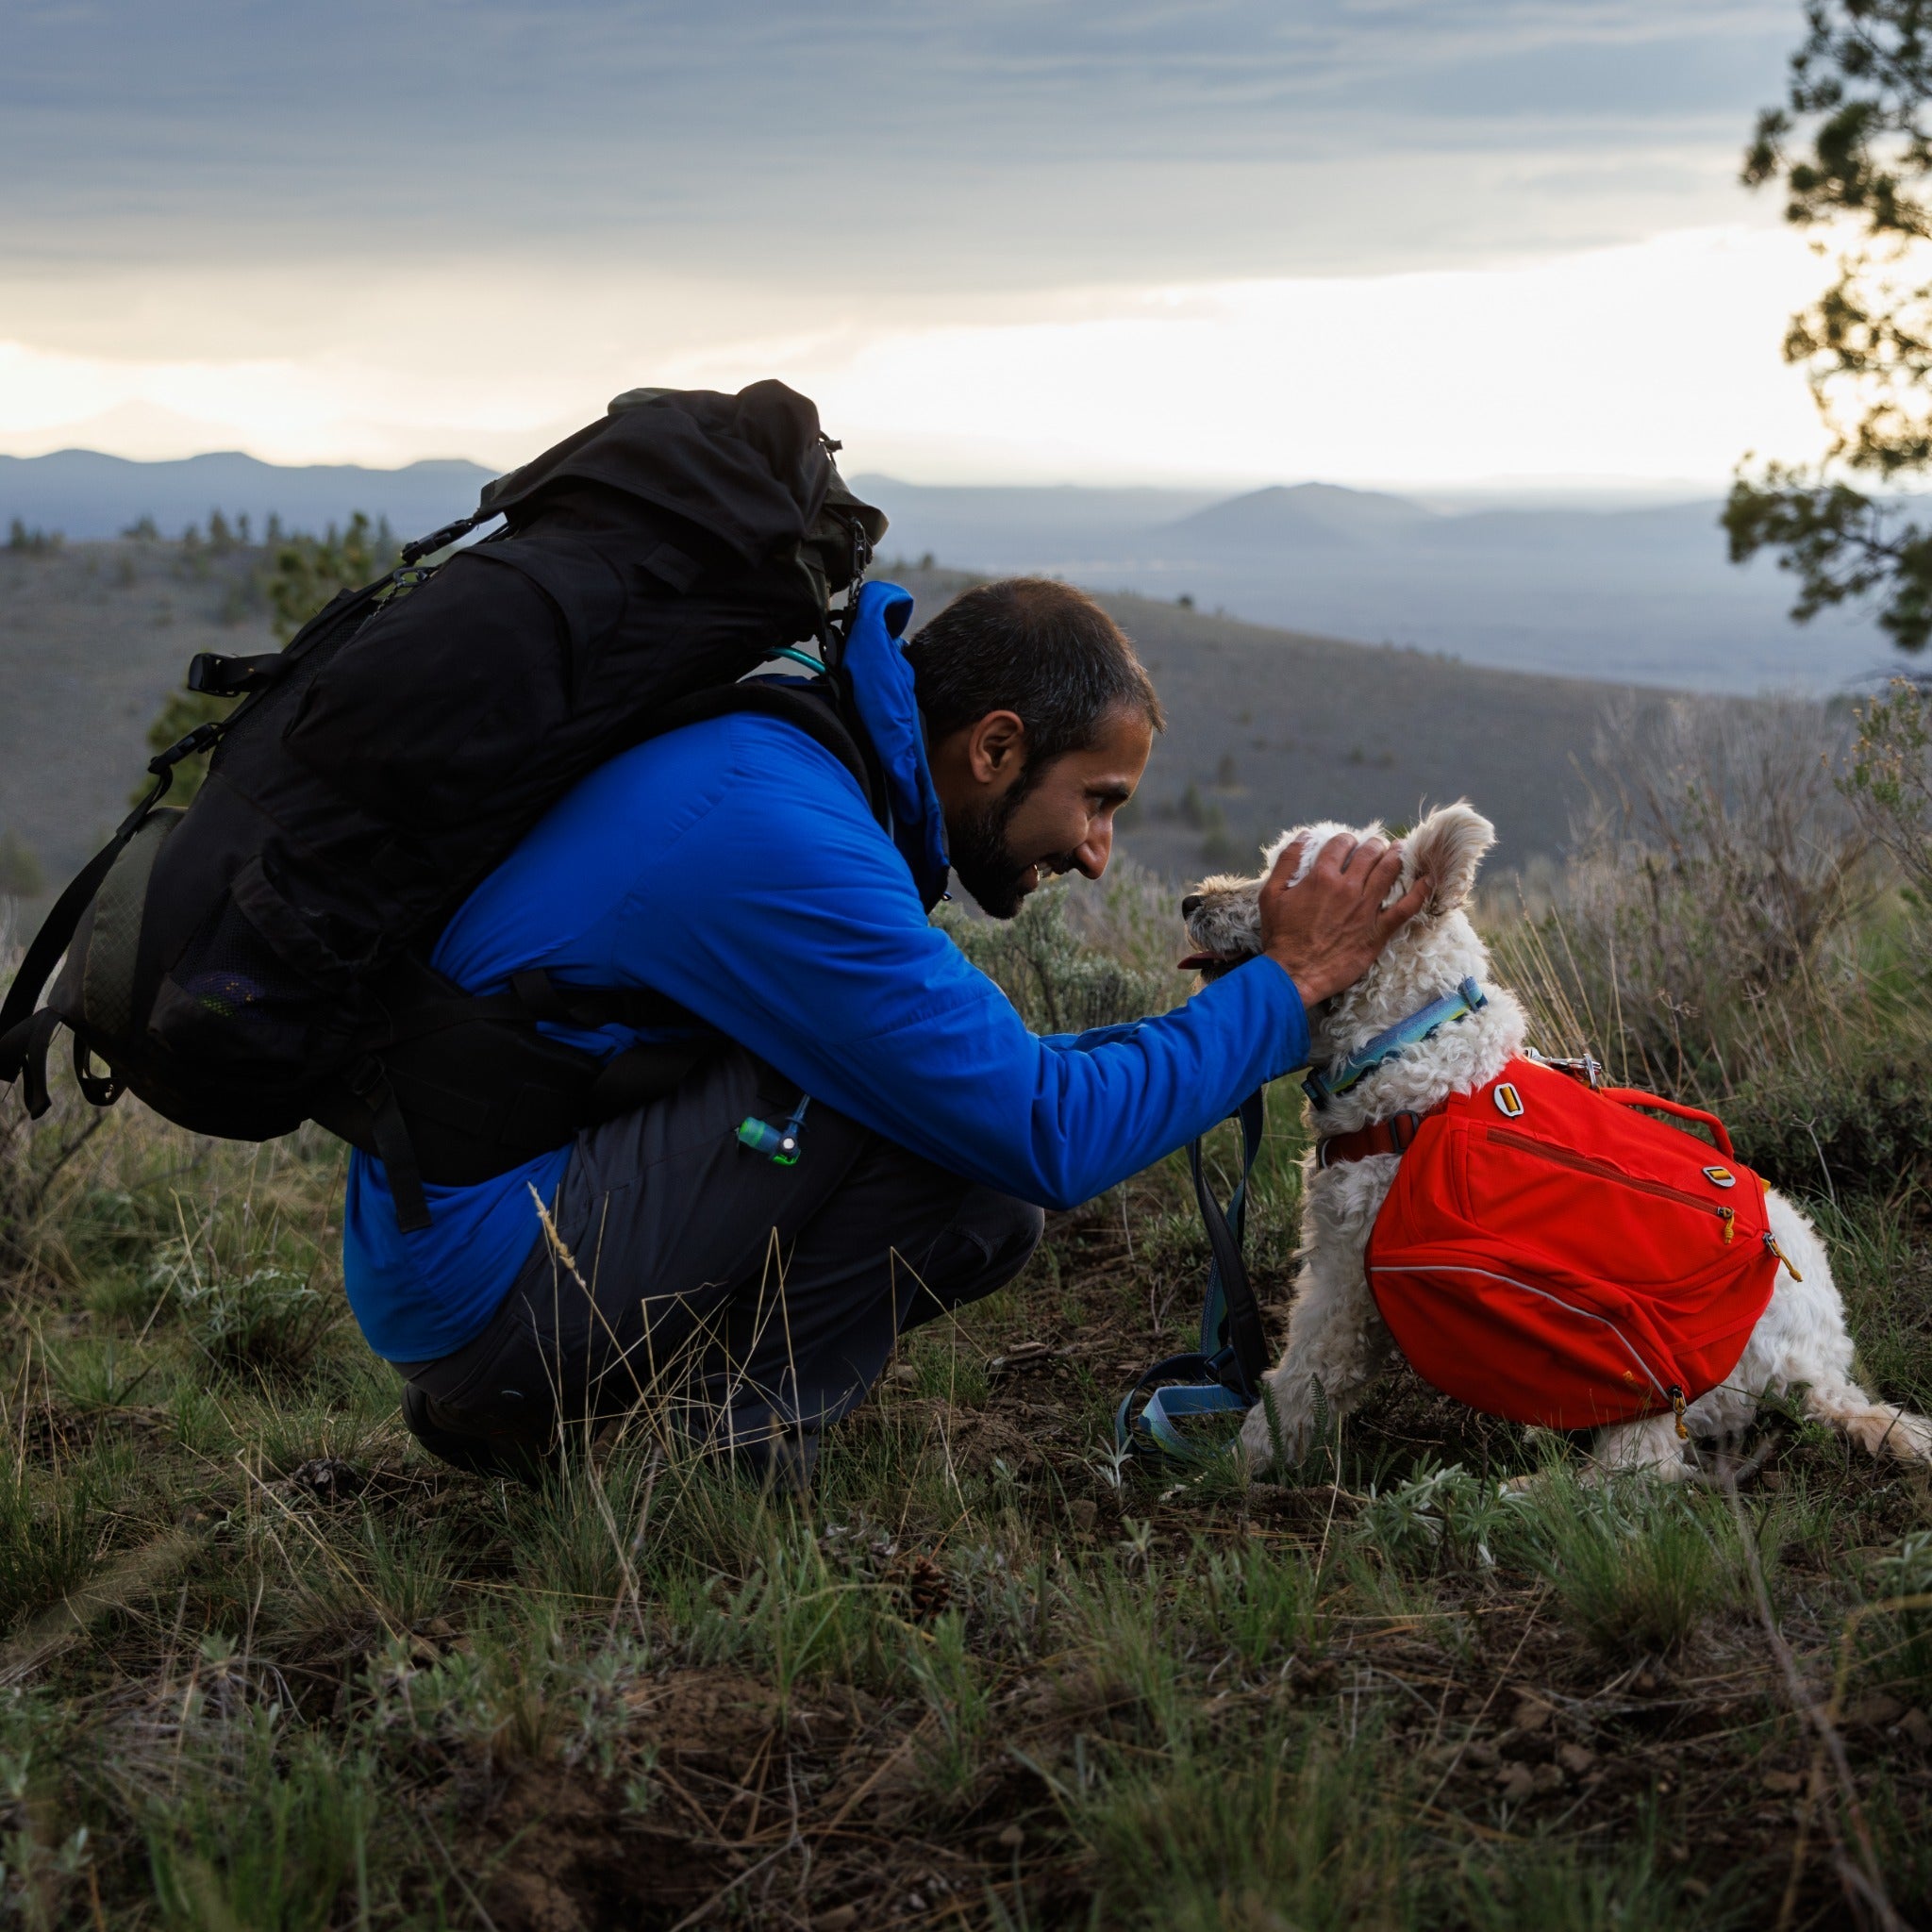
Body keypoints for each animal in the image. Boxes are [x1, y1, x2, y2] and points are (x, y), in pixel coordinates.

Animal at [1174, 799, 1932, 1475]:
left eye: (1284, 878)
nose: (1190, 901)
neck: (1409, 1041)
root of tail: (1818, 1376)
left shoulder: (1344, 1281)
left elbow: (1299, 1380)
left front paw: (1237, 1464)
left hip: (1655, 1370)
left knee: (1640, 1478)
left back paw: (1521, 1495)